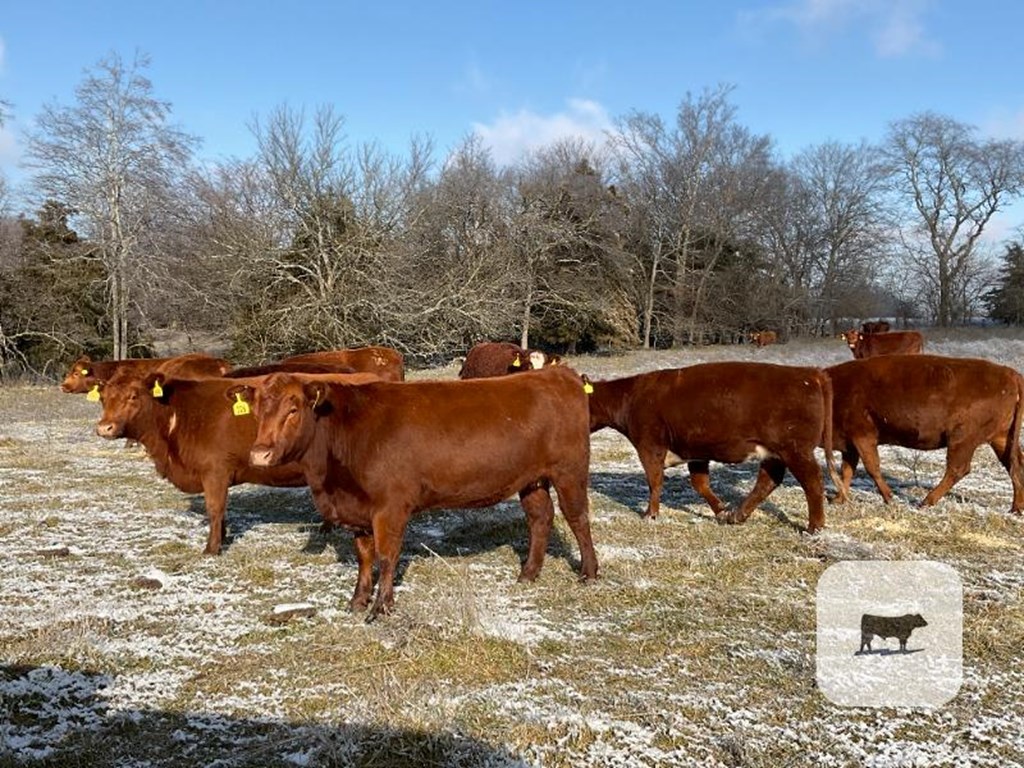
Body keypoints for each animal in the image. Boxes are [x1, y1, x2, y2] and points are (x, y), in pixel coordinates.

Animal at [93, 370, 376, 557]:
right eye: (103, 398)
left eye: (133, 396)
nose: (104, 427)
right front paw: (224, 536)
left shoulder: (214, 471)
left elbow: (215, 508)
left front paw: (212, 548)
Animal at [244, 366, 598, 618]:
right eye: (257, 411)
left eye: (293, 409)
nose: (259, 453)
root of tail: (558, 373)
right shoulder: (358, 508)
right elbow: (364, 557)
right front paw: (357, 601)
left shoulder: (390, 507)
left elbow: (387, 556)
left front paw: (381, 607)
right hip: (531, 480)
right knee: (541, 518)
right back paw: (528, 573)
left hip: (569, 471)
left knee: (578, 518)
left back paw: (589, 573)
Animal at [585, 362, 839, 532]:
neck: (631, 397)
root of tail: (808, 372)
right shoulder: (696, 452)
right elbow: (700, 484)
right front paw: (722, 511)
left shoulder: (650, 446)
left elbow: (655, 481)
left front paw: (650, 515)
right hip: (774, 453)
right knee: (768, 481)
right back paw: (737, 515)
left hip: (795, 450)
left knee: (812, 482)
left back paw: (815, 527)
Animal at [827, 356, 1019, 514]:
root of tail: (1010, 374)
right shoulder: (850, 444)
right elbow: (847, 470)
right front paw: (838, 499)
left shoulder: (863, 437)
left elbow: (871, 467)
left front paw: (889, 498)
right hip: (1000, 439)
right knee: (1015, 465)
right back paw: (1016, 509)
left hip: (961, 440)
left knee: (958, 469)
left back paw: (926, 502)